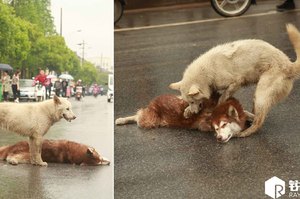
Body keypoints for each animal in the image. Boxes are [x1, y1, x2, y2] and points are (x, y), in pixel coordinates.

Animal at [170, 23, 300, 138]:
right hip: (258, 97)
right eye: (189, 102)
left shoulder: (236, 82)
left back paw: (245, 132)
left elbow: (223, 97)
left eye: (193, 101)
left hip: (261, 95)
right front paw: (187, 111)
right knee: (256, 116)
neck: (207, 72)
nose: (195, 113)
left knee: (259, 122)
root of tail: (289, 65)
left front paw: (218, 106)